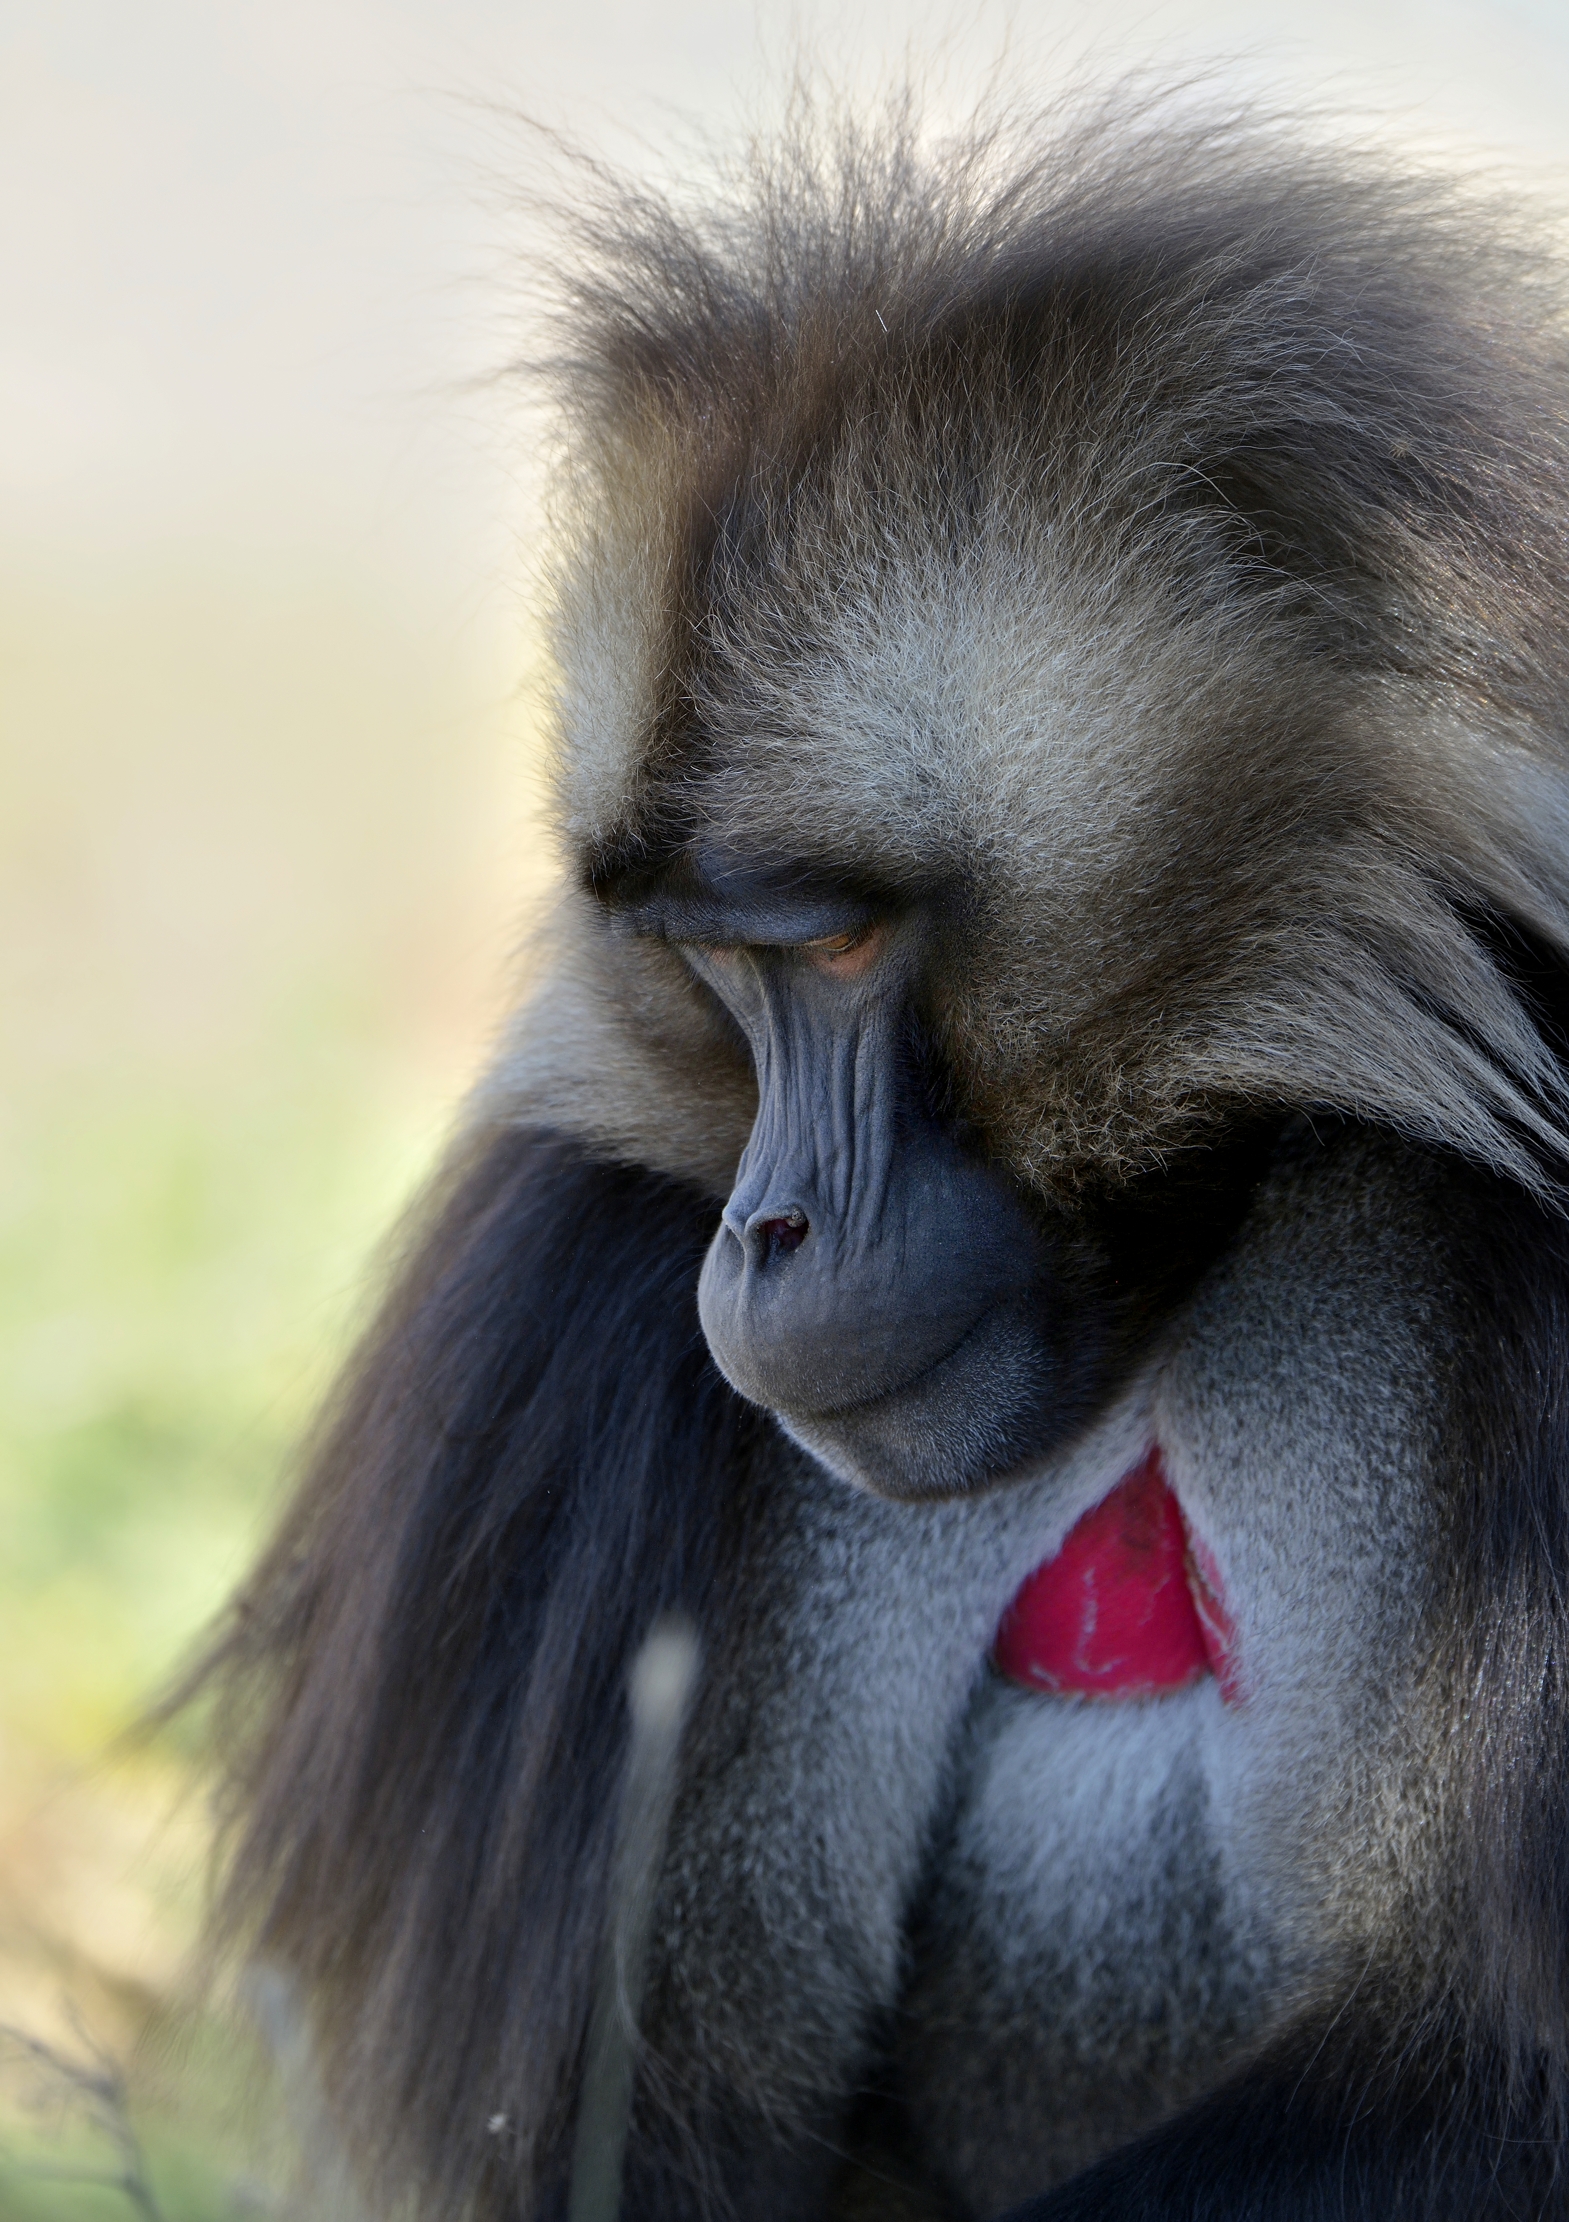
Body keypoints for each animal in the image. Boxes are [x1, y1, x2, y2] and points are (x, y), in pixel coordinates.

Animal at [194, 88, 1569, 2222]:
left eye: (831, 943)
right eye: (703, 958)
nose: (762, 1235)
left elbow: (1492, 2069)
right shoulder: (569, 1315)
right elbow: (629, 2135)